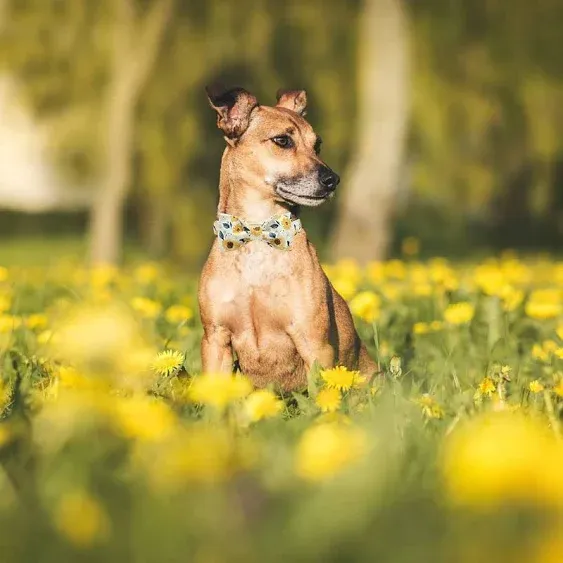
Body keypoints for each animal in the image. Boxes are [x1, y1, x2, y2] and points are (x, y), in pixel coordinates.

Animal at [198, 85, 378, 392]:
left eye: (317, 145)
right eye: (282, 140)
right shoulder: (215, 340)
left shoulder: (315, 345)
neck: (258, 233)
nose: (333, 179)